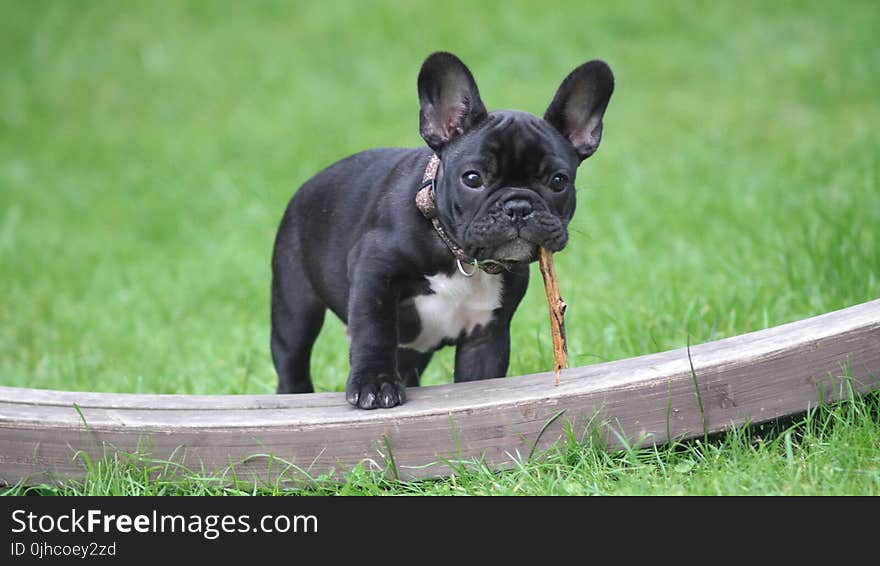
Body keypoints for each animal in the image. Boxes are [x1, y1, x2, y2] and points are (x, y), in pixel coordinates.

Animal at [272, 52, 616, 408]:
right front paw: (375, 383)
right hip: (295, 308)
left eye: (559, 181)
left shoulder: (486, 336)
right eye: (472, 178)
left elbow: (482, 378)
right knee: (292, 360)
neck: (457, 254)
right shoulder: (374, 272)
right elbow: (374, 330)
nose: (518, 207)